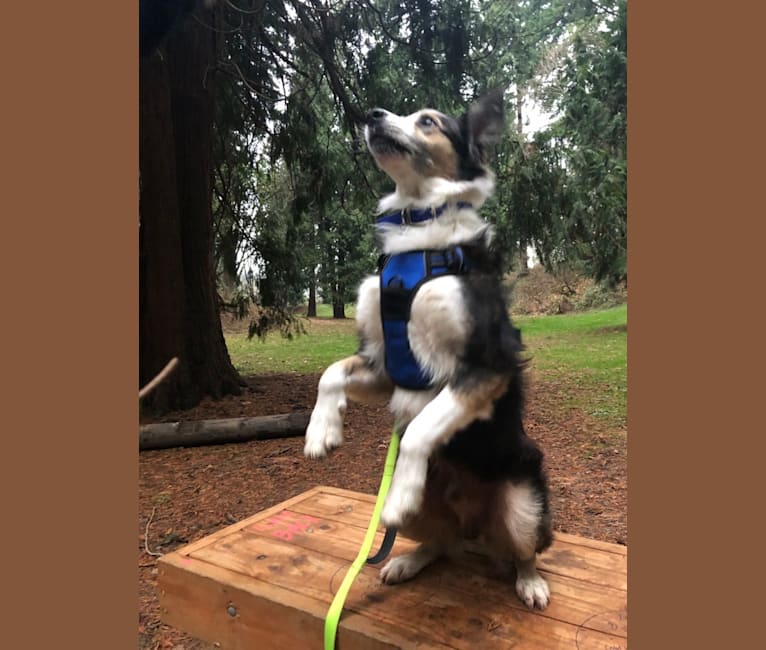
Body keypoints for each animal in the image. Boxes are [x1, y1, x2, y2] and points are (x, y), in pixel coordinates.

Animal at [304, 90, 552, 608]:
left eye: (429, 122)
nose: (371, 115)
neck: (417, 231)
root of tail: (475, 526)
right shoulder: (384, 365)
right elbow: (331, 373)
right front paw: (322, 431)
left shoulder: (486, 366)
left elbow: (421, 426)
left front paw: (400, 488)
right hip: (430, 516)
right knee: (441, 541)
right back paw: (407, 560)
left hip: (523, 504)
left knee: (524, 550)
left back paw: (531, 581)